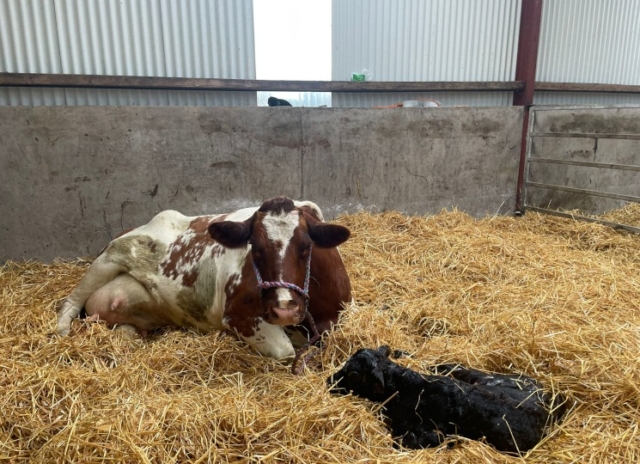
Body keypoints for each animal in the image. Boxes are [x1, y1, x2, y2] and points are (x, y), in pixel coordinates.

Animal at [57, 196, 352, 362]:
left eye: (306, 246)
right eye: (254, 247)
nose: (284, 310)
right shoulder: (239, 317)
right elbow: (285, 351)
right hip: (108, 259)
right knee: (71, 302)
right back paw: (61, 332)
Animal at [328, 348, 568, 454]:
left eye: (354, 374)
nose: (329, 380)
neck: (406, 388)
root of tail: (552, 400)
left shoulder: (433, 434)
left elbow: (403, 441)